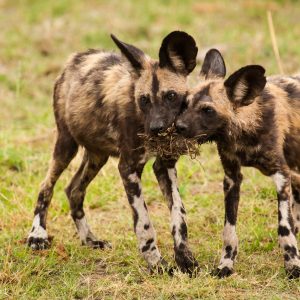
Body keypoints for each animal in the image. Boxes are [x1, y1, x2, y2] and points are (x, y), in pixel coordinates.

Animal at [26, 31, 199, 274]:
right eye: (144, 100)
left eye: (171, 96)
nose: (156, 128)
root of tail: (75, 58)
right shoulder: (128, 168)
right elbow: (144, 222)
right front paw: (156, 263)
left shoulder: (164, 165)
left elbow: (178, 213)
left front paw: (184, 258)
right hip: (66, 145)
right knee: (45, 187)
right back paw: (37, 236)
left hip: (97, 156)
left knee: (74, 190)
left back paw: (89, 239)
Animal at [175, 48, 300, 276]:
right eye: (185, 104)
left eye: (208, 110)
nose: (178, 126)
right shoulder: (232, 178)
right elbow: (229, 229)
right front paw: (225, 265)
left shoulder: (281, 175)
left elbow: (284, 228)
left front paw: (293, 266)